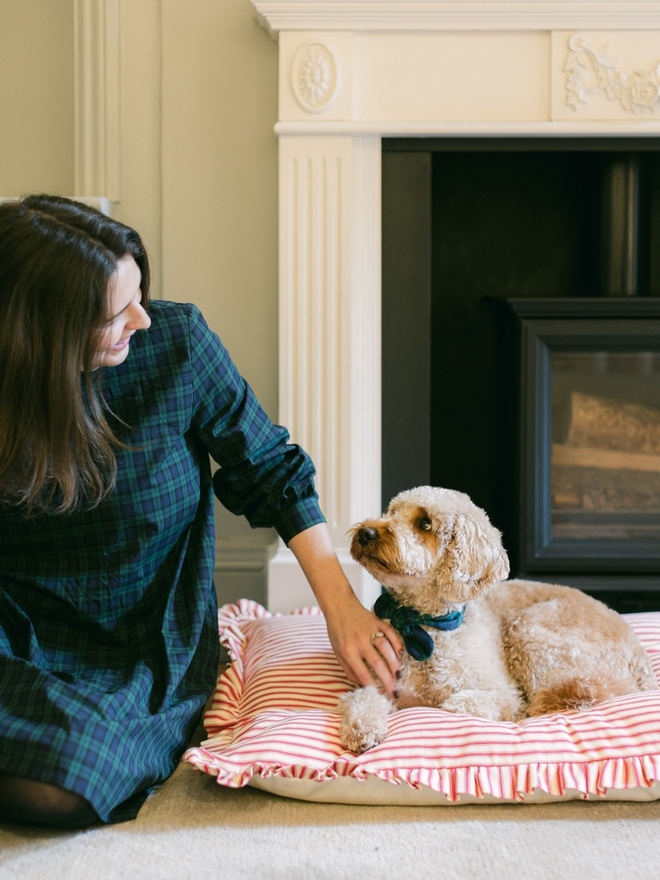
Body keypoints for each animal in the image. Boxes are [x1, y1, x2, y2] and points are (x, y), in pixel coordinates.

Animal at [338, 484, 656, 752]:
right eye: (391, 512)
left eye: (424, 523)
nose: (366, 532)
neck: (423, 625)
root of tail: (642, 662)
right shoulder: (379, 682)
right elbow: (361, 700)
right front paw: (362, 729)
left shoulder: (505, 693)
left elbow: (477, 703)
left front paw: (456, 704)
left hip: (531, 632)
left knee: (578, 692)